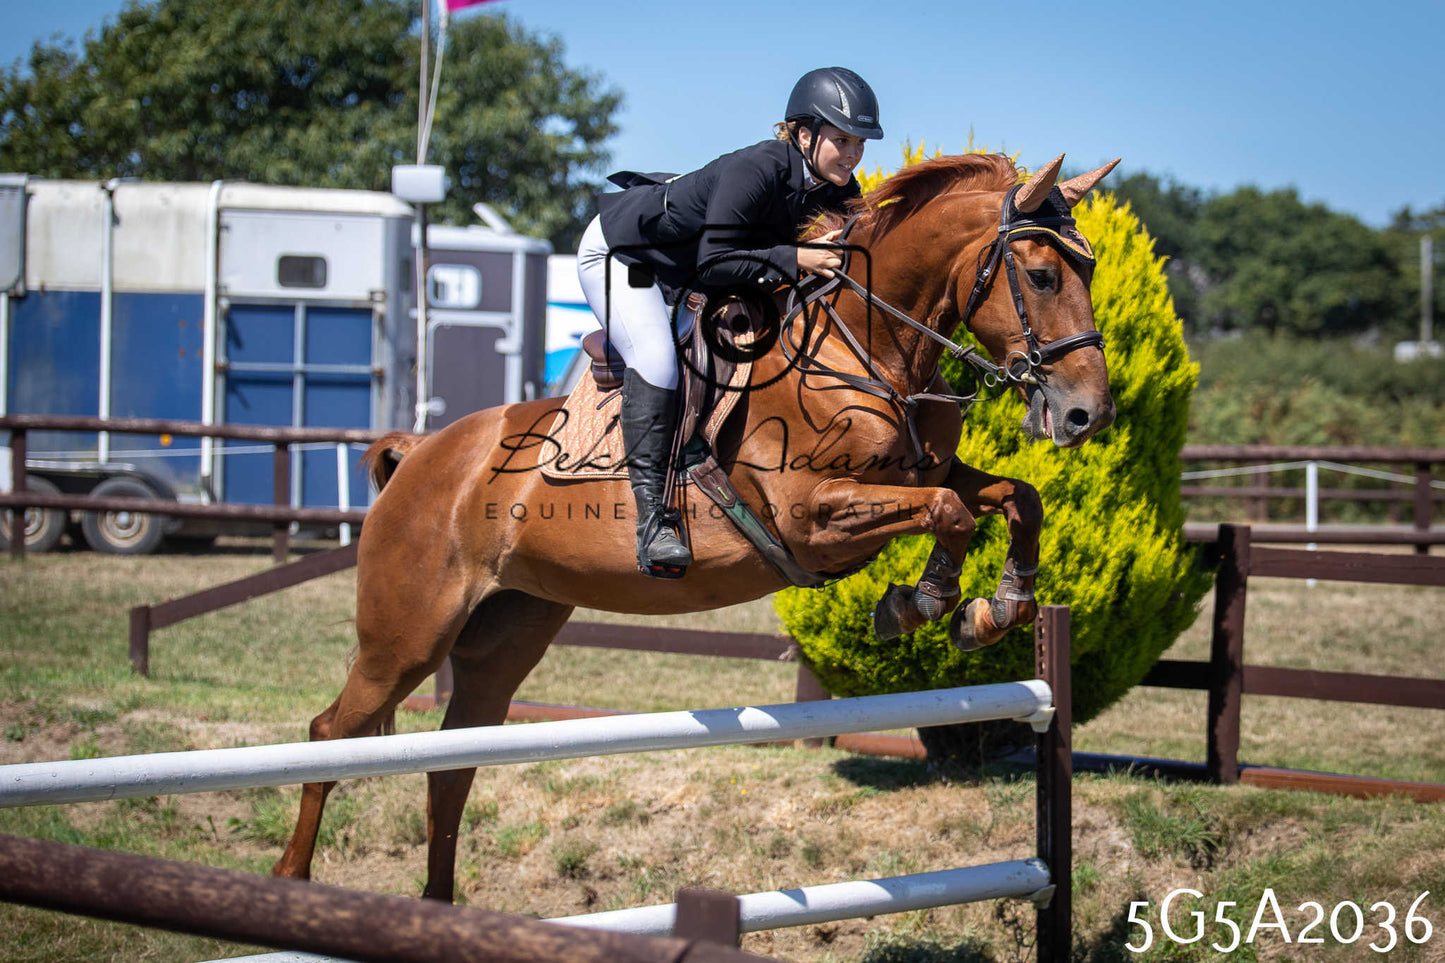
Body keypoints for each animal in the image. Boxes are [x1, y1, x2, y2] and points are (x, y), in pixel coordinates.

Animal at [272, 151, 1119, 902]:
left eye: (1088, 272)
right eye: (1041, 276)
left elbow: (1016, 497)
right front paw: (920, 601)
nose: (1087, 414)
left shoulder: (923, 473)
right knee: (330, 732)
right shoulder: (812, 518)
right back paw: (291, 882)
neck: (865, 348)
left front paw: (997, 608)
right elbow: (949, 513)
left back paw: (436, 906)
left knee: (451, 762)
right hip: (408, 634)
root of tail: (421, 452)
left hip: (505, 633)